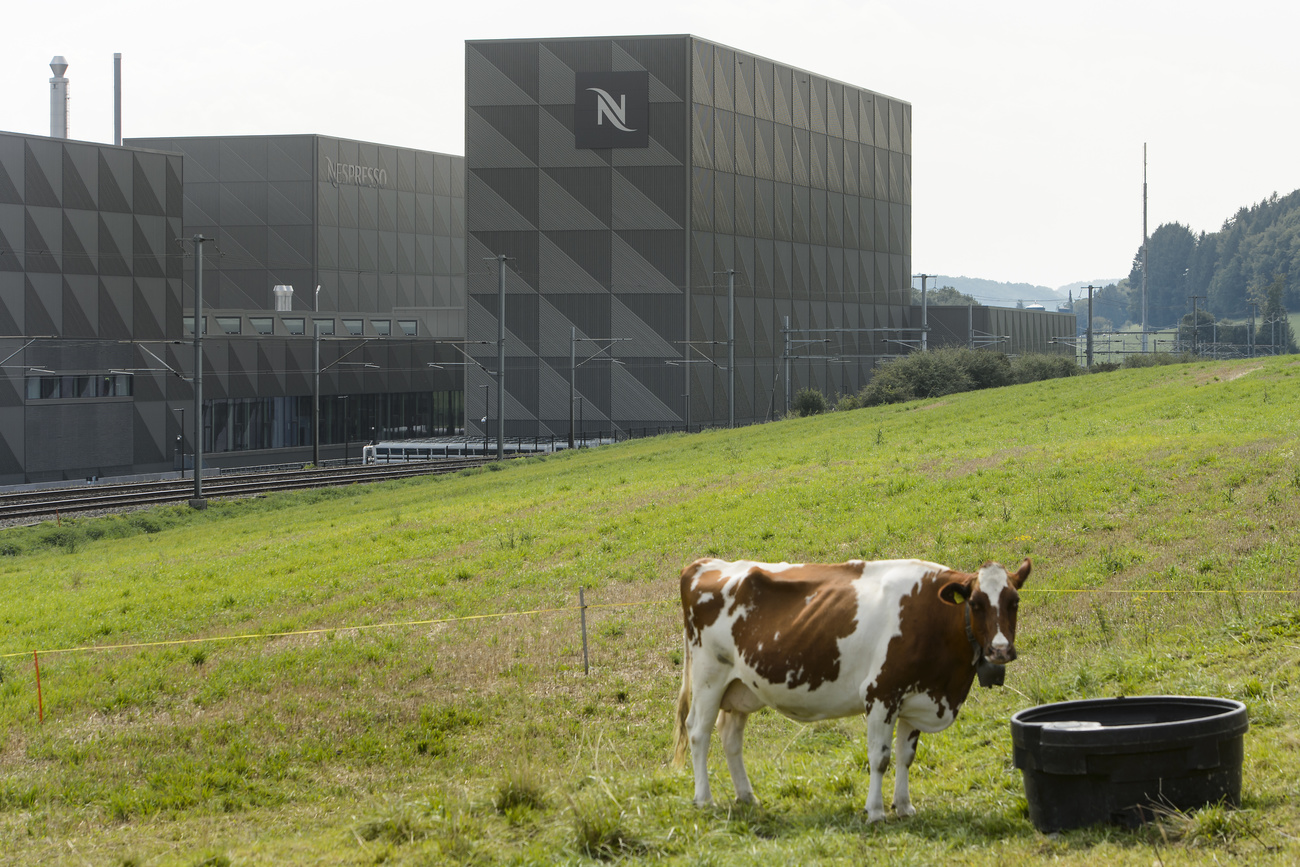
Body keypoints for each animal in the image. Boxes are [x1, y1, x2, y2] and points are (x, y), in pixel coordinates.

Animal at [676, 556, 1029, 821]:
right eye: (976, 603)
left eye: (1014, 601)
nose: (1000, 650)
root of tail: (704, 563)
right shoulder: (881, 694)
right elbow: (880, 757)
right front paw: (875, 812)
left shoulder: (915, 699)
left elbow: (905, 757)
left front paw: (904, 807)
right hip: (709, 677)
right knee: (698, 732)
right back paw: (704, 799)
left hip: (741, 687)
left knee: (730, 737)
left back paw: (747, 796)